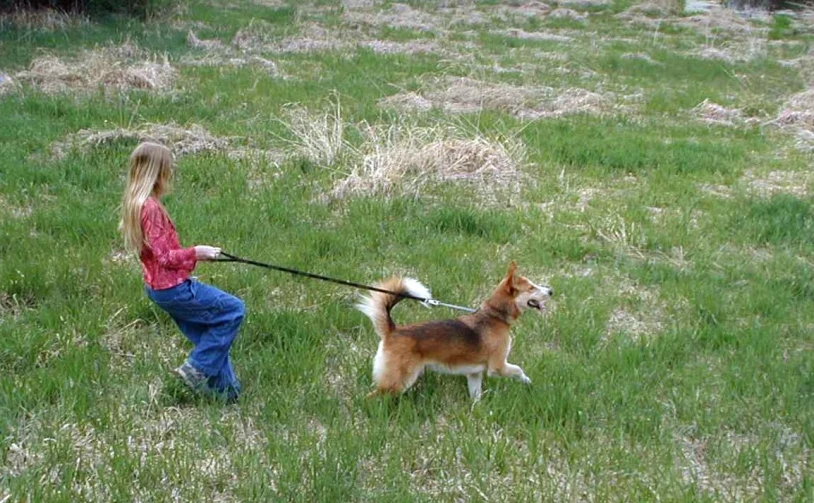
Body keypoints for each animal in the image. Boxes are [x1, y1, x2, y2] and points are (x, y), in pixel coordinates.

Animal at [358, 262, 556, 400]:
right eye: (531, 287)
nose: (551, 291)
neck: (494, 315)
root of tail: (392, 330)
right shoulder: (498, 367)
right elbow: (518, 370)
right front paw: (527, 381)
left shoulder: (474, 373)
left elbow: (476, 396)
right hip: (399, 381)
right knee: (371, 397)